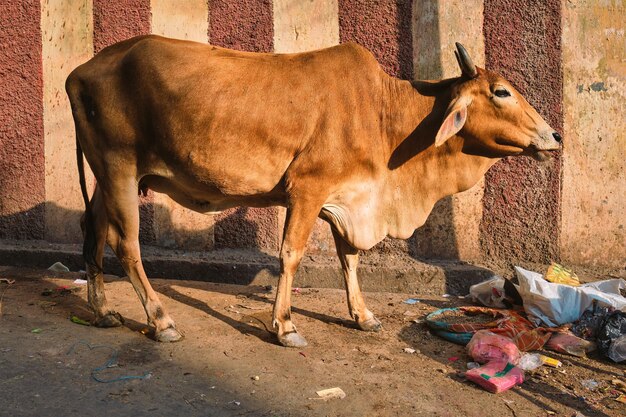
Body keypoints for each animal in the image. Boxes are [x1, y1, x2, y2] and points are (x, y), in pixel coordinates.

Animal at [66, 35, 560, 346]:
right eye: (501, 91)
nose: (553, 136)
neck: (385, 116)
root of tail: (81, 70)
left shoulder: (349, 199)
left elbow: (350, 259)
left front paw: (363, 316)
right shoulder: (306, 190)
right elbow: (290, 255)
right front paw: (284, 326)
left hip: (106, 177)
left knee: (92, 230)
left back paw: (102, 312)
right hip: (120, 168)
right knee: (126, 245)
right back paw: (161, 320)